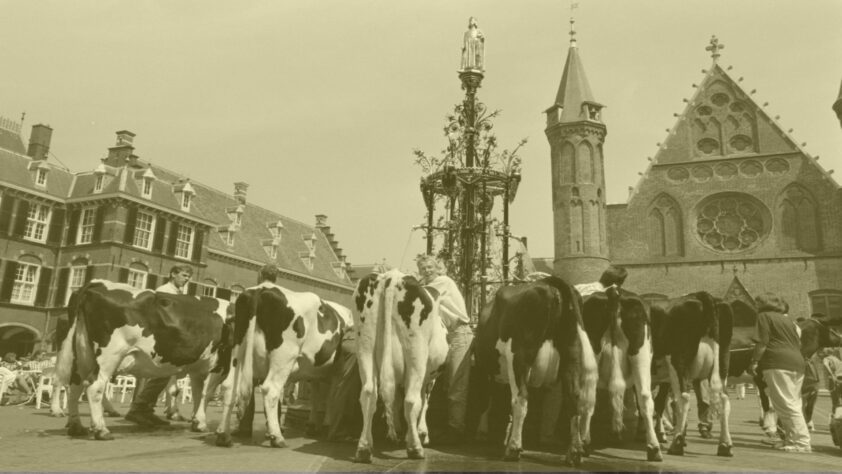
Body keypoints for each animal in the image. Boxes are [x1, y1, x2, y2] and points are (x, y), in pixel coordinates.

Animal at [55, 280, 230, 438]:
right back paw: (101, 430)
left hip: (82, 354)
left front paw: (197, 421)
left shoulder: (199, 368)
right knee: (94, 387)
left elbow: (198, 393)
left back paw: (76, 427)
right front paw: (201, 423)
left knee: (75, 385)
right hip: (109, 356)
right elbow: (207, 393)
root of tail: (96, 284)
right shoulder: (221, 365)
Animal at [472, 276, 596, 464]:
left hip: (519, 356)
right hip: (571, 356)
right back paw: (574, 452)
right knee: (573, 398)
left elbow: (487, 400)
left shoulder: (485, 370)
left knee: (521, 399)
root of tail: (549, 283)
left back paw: (513, 449)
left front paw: (484, 432)